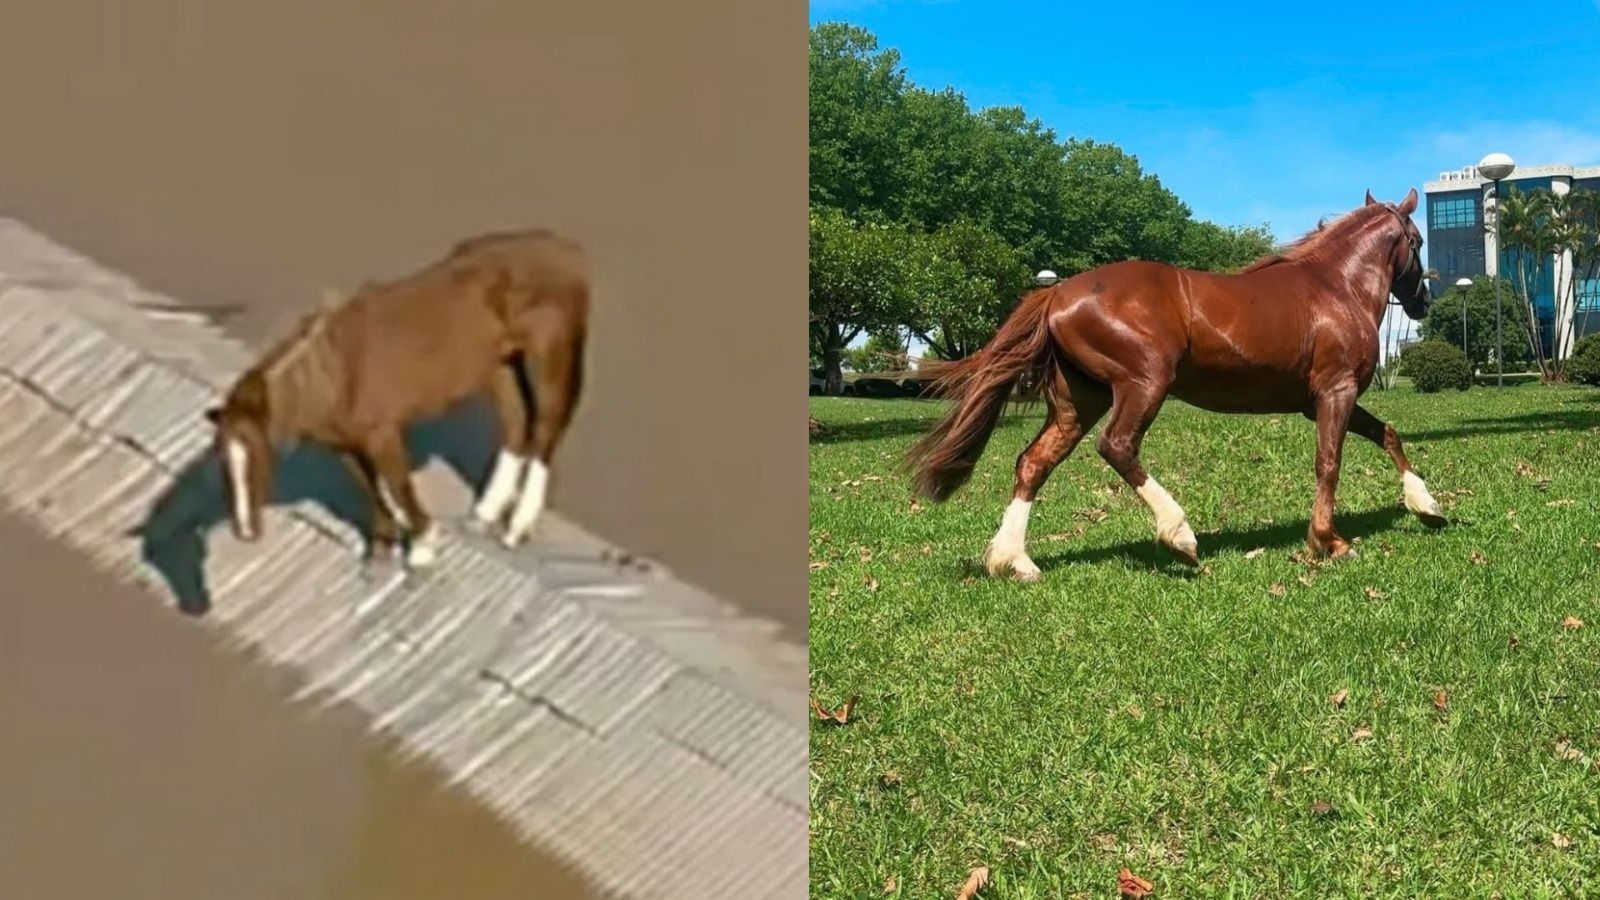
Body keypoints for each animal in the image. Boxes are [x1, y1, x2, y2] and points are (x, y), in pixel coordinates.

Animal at [204, 229, 589, 569]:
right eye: (223, 459)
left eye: (258, 455)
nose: (245, 531)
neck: (333, 374)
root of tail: (567, 251)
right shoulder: (347, 445)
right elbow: (373, 489)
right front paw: (382, 547)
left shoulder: (382, 435)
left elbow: (397, 485)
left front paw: (422, 547)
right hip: (499, 365)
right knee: (516, 423)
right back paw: (483, 514)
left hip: (551, 355)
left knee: (546, 428)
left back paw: (517, 528)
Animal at [905, 188, 1447, 582]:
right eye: (1417, 240)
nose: (1423, 303)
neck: (1335, 288)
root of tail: (1056, 292)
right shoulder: (1335, 392)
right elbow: (1329, 463)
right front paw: (1330, 541)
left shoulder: (1322, 401)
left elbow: (1388, 434)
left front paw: (1428, 507)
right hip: (1143, 384)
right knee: (1117, 447)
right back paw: (1180, 535)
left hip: (1078, 402)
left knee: (1034, 463)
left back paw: (1014, 560)